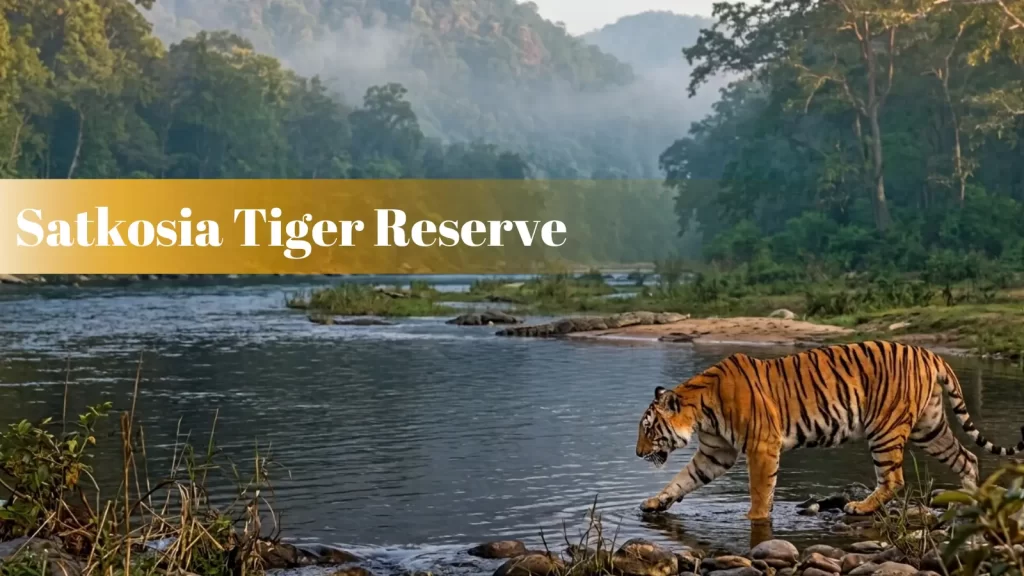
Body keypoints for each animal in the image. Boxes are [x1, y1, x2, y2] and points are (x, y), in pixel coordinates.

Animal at [634, 341, 1024, 522]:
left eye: (649, 430)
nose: (638, 454)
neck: (701, 411)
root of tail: (930, 353)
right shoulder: (716, 453)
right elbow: (684, 479)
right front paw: (655, 501)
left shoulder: (761, 445)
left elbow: (760, 489)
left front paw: (754, 518)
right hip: (928, 428)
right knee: (967, 457)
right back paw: (972, 500)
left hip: (885, 428)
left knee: (894, 479)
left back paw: (860, 507)